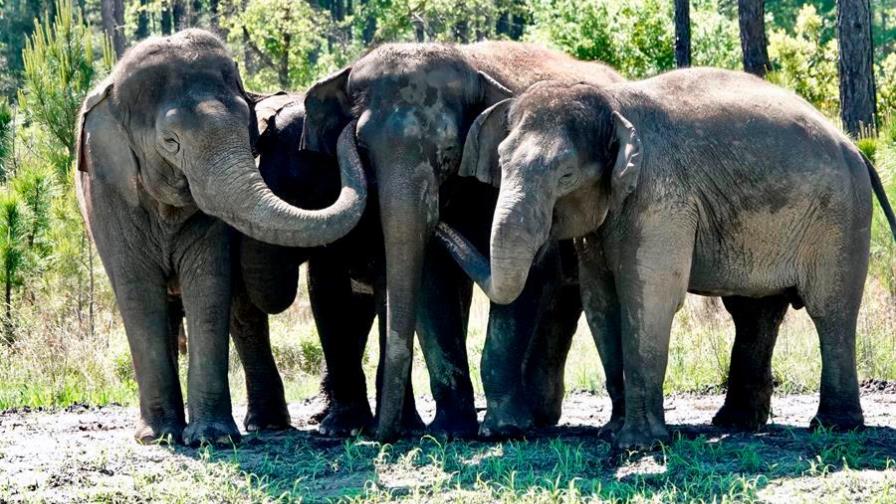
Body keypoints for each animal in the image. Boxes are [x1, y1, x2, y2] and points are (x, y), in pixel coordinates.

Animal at [75, 30, 367, 445]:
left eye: (248, 126)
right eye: (170, 142)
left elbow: (209, 285)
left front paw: (211, 438)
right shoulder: (108, 193)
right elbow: (137, 291)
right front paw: (158, 438)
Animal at [301, 41, 623, 440]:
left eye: (448, 151)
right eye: (361, 146)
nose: (384, 436)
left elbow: (527, 276)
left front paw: (504, 430)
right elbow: (430, 283)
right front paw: (450, 431)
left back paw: (534, 416)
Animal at [435, 68, 896, 450]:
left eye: (565, 175)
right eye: (500, 163)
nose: (439, 222)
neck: (612, 103)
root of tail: (856, 150)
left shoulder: (659, 195)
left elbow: (648, 296)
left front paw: (637, 445)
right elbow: (601, 302)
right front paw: (612, 434)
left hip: (839, 220)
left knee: (829, 311)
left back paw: (834, 426)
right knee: (755, 312)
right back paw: (737, 423)